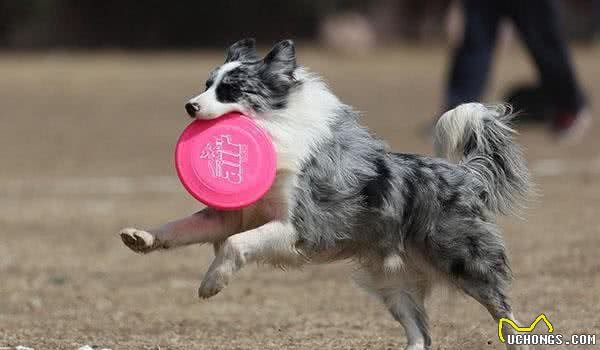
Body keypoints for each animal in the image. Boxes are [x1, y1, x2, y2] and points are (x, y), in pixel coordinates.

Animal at [120, 38, 528, 350]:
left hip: (463, 261)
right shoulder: (233, 214)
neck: (276, 129)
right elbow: (181, 227)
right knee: (421, 334)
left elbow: (236, 244)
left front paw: (211, 283)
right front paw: (141, 237)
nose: (189, 105)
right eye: (206, 84)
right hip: (392, 283)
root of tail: (464, 174)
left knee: (503, 308)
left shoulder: (298, 226)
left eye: (230, 89)